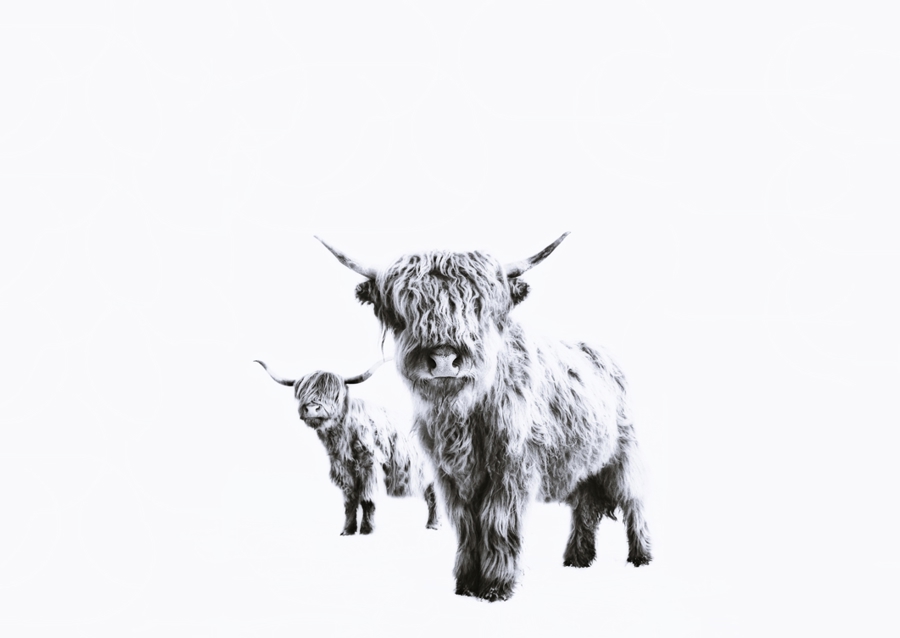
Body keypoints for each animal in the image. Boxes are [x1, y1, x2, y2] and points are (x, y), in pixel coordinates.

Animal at [255, 358, 440, 535]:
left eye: (334, 394)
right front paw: (347, 530)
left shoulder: (369, 468)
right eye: (303, 393)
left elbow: (367, 500)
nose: (312, 409)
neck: (343, 438)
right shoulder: (343, 470)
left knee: (434, 496)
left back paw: (434, 524)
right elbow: (350, 502)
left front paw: (367, 530)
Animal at [316, 232, 651, 601]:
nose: (444, 360)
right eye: (407, 307)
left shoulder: (511, 468)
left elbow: (497, 521)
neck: (462, 416)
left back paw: (641, 556)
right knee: (585, 507)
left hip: (624, 455)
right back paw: (578, 558)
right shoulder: (450, 476)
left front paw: (496, 587)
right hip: (581, 463)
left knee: (634, 502)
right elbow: (466, 525)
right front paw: (465, 584)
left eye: (477, 307)